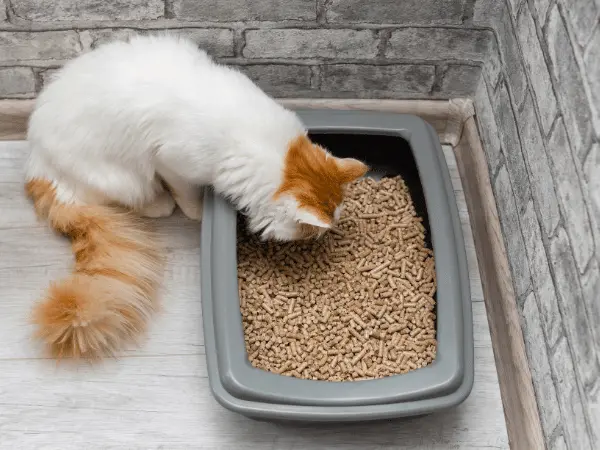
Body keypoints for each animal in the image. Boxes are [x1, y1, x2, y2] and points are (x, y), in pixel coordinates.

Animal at [23, 33, 368, 360]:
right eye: (310, 231)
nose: (322, 238)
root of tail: (38, 163)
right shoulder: (174, 164)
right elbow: (187, 196)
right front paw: (200, 211)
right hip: (124, 178)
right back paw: (158, 204)